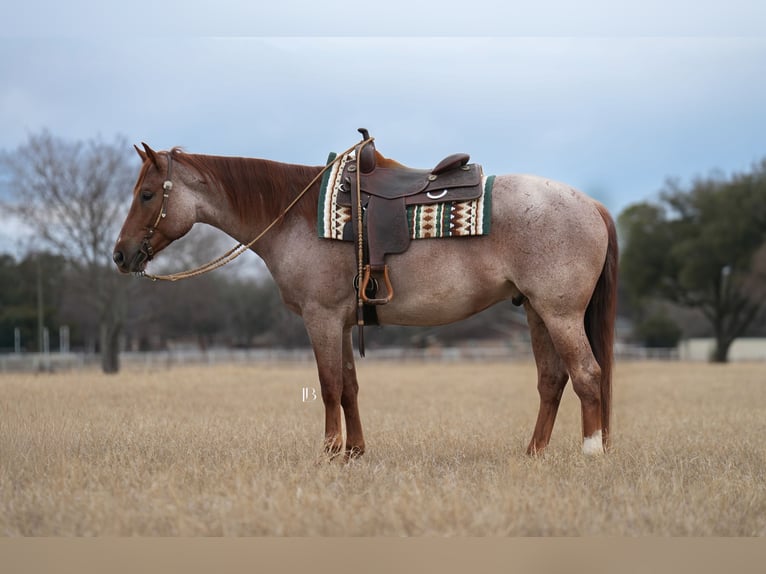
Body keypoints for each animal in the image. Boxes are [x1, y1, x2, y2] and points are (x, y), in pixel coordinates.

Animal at [113, 139, 618, 460]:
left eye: (147, 194)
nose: (120, 255)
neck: (295, 215)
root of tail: (592, 205)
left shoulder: (319, 317)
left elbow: (328, 384)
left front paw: (329, 450)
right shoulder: (339, 321)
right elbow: (350, 385)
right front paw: (354, 450)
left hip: (560, 313)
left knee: (587, 374)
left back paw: (591, 450)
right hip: (536, 311)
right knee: (552, 380)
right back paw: (534, 452)